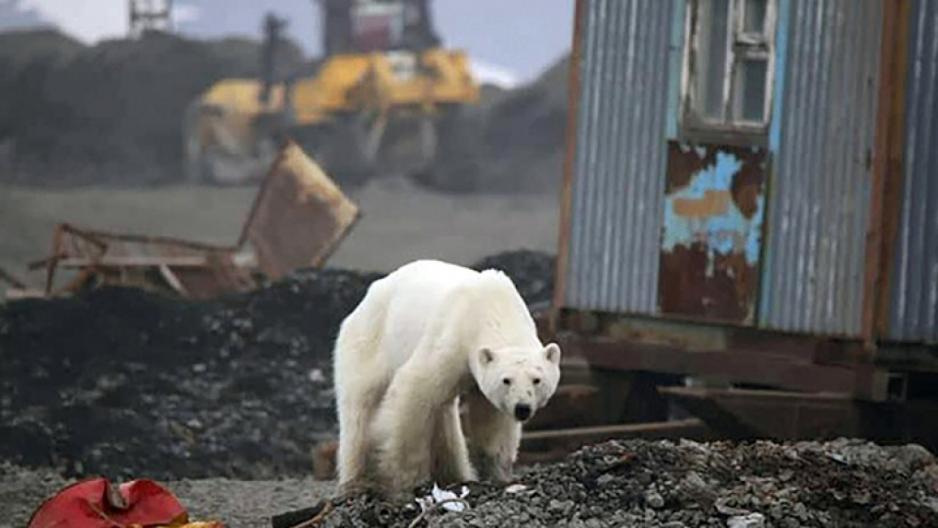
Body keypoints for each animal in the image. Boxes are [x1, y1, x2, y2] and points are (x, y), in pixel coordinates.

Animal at [332, 260, 560, 500]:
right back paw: (356, 482)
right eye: (506, 380)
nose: (522, 408)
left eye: (536, 379)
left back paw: (455, 475)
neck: (493, 307)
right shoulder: (452, 338)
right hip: (368, 342)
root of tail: (365, 299)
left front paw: (498, 474)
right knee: (359, 408)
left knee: (444, 414)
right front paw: (407, 481)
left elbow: (492, 418)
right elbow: (413, 390)